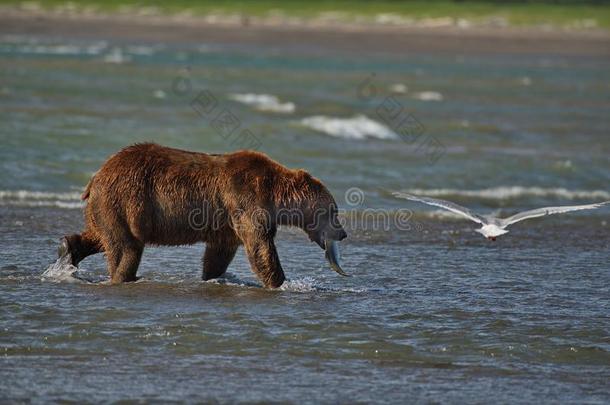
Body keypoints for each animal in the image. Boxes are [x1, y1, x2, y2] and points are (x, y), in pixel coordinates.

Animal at [60, 142, 350, 288]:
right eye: (333, 210)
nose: (343, 233)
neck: (275, 195)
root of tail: (99, 174)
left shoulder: (226, 223)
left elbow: (219, 253)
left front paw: (212, 277)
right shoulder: (245, 199)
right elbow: (260, 245)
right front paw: (281, 282)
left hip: (108, 207)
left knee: (100, 236)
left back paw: (68, 248)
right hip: (125, 202)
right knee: (126, 247)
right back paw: (123, 276)